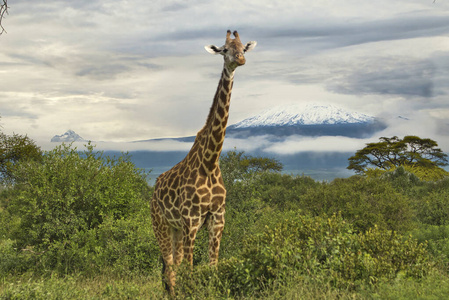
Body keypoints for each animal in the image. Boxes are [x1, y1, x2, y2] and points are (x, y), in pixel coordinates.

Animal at [150, 31, 256, 292]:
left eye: (243, 48)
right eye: (225, 49)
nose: (240, 60)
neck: (209, 163)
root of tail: (154, 189)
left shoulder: (217, 218)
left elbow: (213, 267)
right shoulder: (191, 219)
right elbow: (189, 270)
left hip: (176, 229)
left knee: (173, 266)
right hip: (161, 224)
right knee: (170, 268)